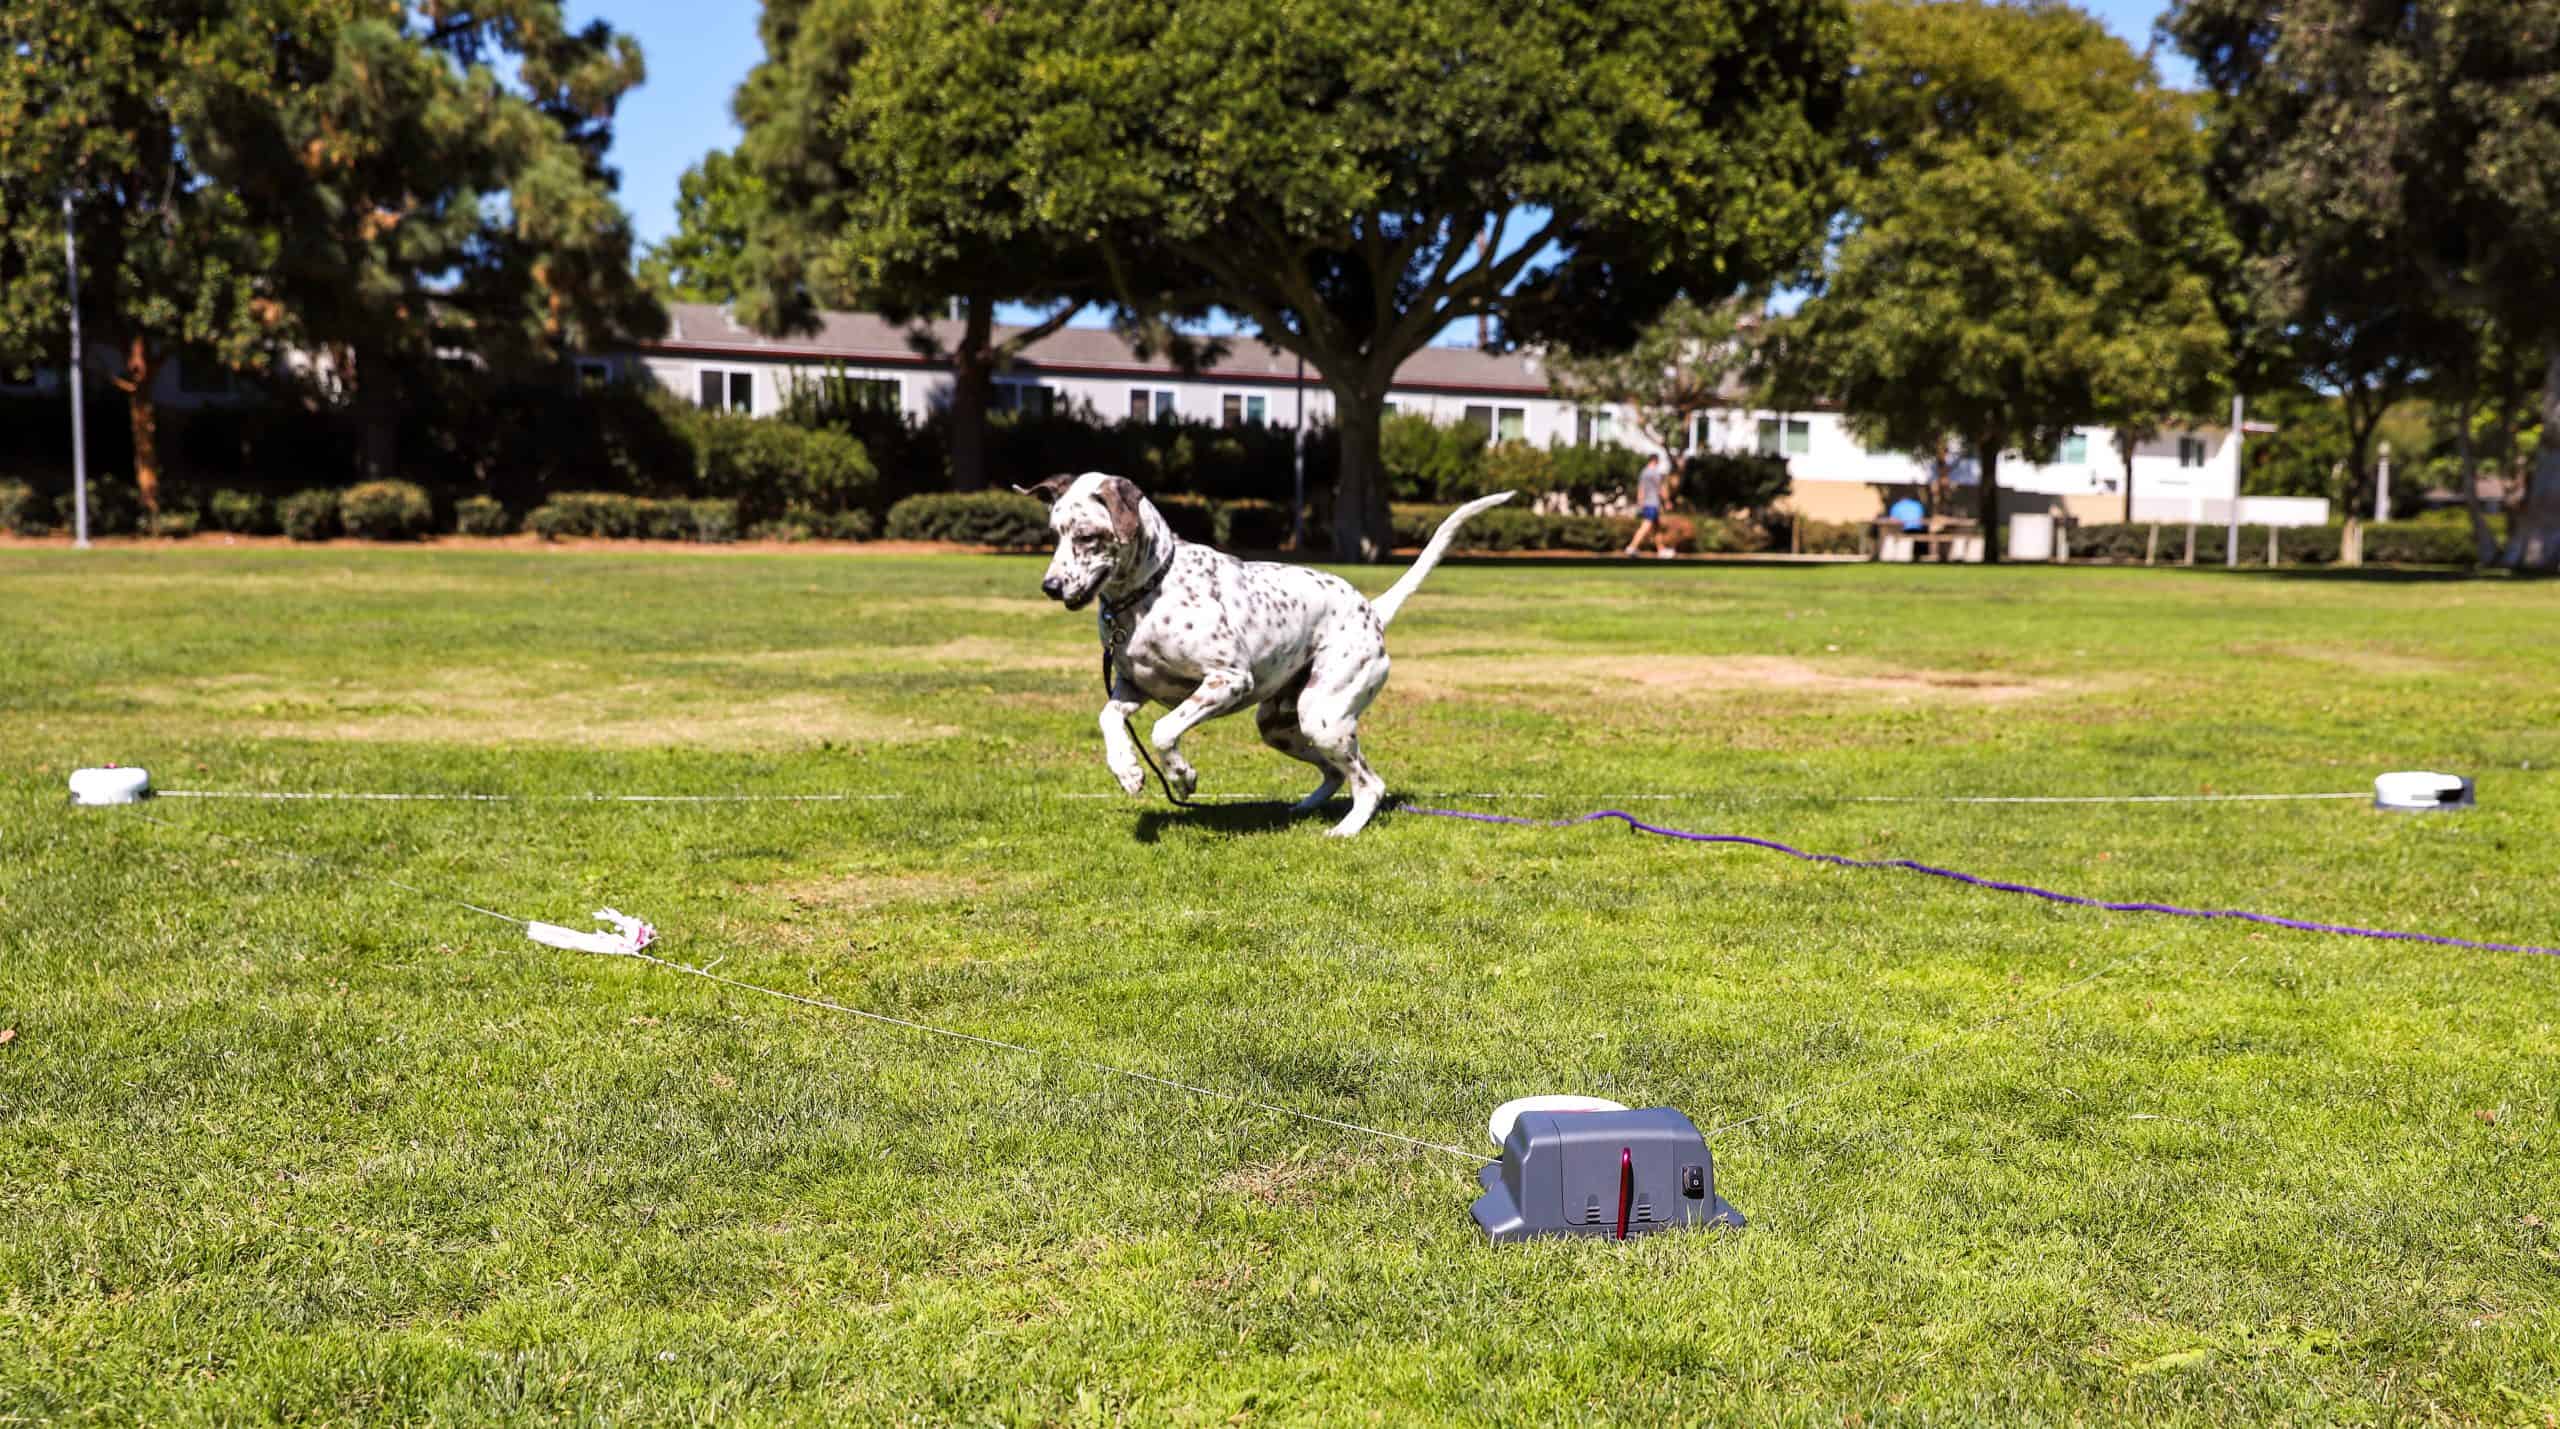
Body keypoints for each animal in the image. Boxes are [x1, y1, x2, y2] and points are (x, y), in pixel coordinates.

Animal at [1013, 476, 1505, 839]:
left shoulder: (1227, 680)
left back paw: (1345, 830)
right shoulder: (1133, 686)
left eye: (1088, 536)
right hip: (1278, 724)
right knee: (1334, 774)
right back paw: (1301, 808)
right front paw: (1128, 771)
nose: (1050, 587)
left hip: (1323, 716)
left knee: (1369, 783)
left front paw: (1182, 775)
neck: (1148, 594)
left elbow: (1163, 730)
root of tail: (1373, 610)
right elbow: (1109, 719)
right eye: (1055, 534)